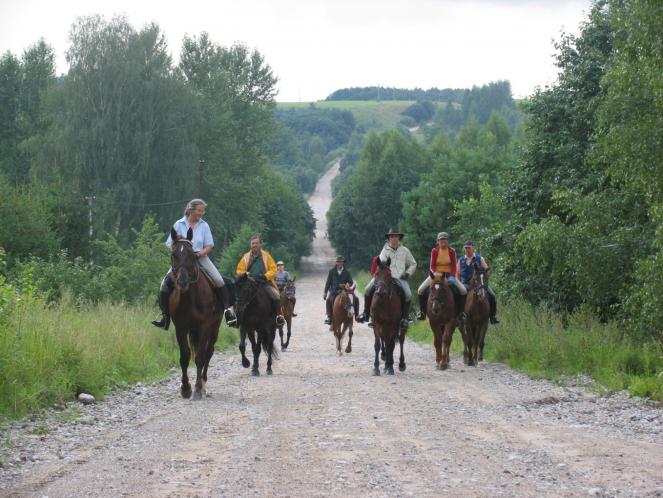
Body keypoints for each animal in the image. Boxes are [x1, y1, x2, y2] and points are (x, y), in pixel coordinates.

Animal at [169, 228, 223, 398]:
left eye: (192, 254)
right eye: (173, 254)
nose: (182, 282)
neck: (189, 299)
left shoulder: (204, 326)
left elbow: (199, 357)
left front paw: (198, 389)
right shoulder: (180, 329)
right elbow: (184, 357)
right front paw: (186, 388)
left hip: (214, 328)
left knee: (209, 352)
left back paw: (204, 384)